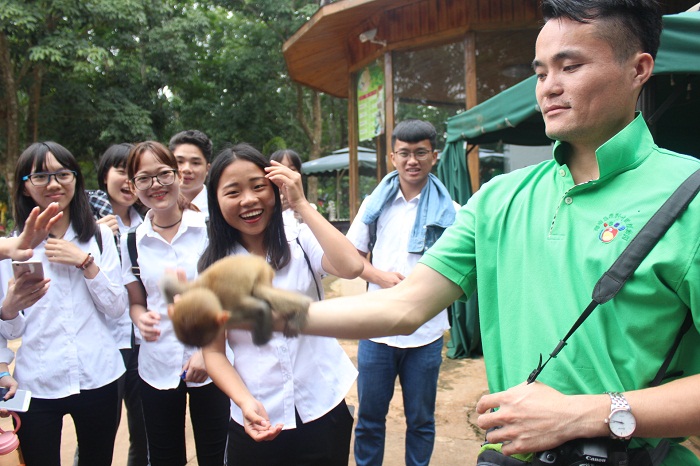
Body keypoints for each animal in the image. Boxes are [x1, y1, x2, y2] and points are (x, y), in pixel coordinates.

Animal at [163, 253, 310, 348]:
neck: (212, 292)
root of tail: (257, 260)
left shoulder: (231, 310)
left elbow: (261, 309)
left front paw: (261, 340)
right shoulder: (190, 290)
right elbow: (167, 284)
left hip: (263, 272)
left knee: (260, 290)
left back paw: (303, 305)